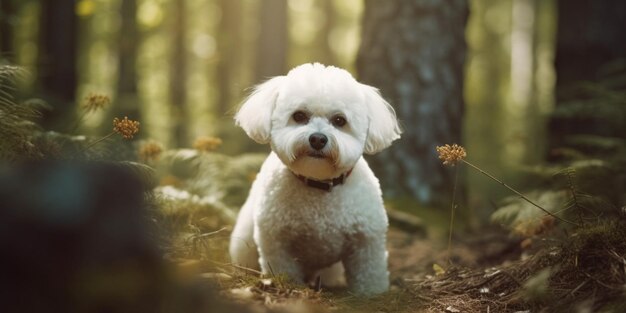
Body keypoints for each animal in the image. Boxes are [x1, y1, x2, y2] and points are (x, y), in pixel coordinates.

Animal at [229, 62, 400, 294]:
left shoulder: (367, 241)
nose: (318, 139)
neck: (319, 185)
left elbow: (370, 273)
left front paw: (371, 295)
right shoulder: (276, 241)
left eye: (339, 120)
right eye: (299, 116)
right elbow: (283, 270)